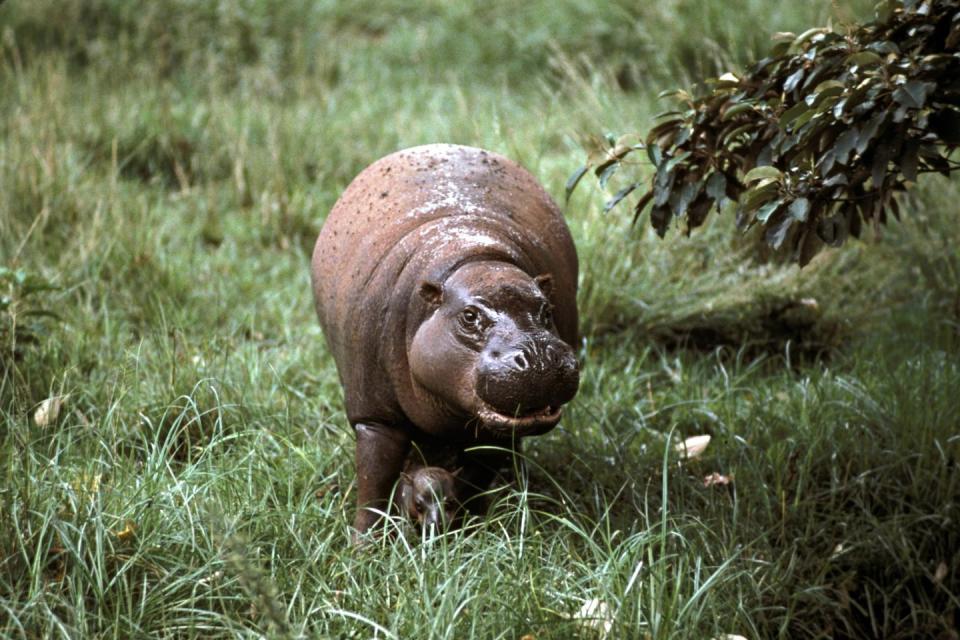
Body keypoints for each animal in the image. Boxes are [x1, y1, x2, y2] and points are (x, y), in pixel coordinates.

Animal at [314, 144, 576, 536]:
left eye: (546, 310)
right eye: (469, 316)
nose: (540, 356)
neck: (479, 261)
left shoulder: (490, 432)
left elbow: (476, 477)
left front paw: (472, 527)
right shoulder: (375, 417)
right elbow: (373, 481)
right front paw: (364, 543)